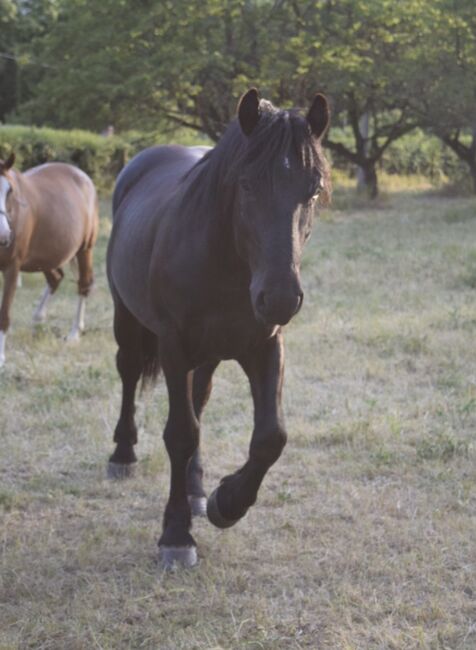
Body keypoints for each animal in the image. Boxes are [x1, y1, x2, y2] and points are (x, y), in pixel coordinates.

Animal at [0, 153, 98, 364]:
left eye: (9, 190)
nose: (4, 236)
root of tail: (82, 176)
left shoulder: (12, 267)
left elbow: (4, 313)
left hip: (85, 249)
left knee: (83, 285)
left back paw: (74, 334)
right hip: (47, 256)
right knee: (56, 278)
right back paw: (38, 318)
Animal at [107, 88, 330, 564]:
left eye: (315, 189)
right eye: (246, 185)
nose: (280, 297)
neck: (227, 267)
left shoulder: (265, 346)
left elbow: (270, 436)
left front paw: (224, 502)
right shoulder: (172, 347)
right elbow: (180, 433)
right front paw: (176, 536)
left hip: (207, 354)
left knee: (199, 399)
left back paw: (195, 490)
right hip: (128, 319)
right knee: (130, 373)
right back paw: (122, 455)